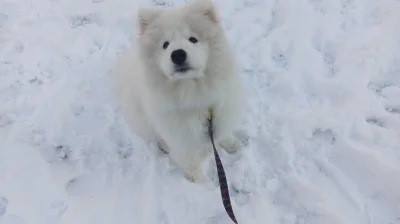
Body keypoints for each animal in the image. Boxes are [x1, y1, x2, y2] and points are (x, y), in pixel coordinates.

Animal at [111, 0, 244, 182]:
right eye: (165, 45)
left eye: (193, 39)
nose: (178, 54)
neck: (191, 93)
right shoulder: (180, 137)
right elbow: (191, 164)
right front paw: (200, 185)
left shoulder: (220, 112)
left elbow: (222, 133)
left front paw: (231, 145)